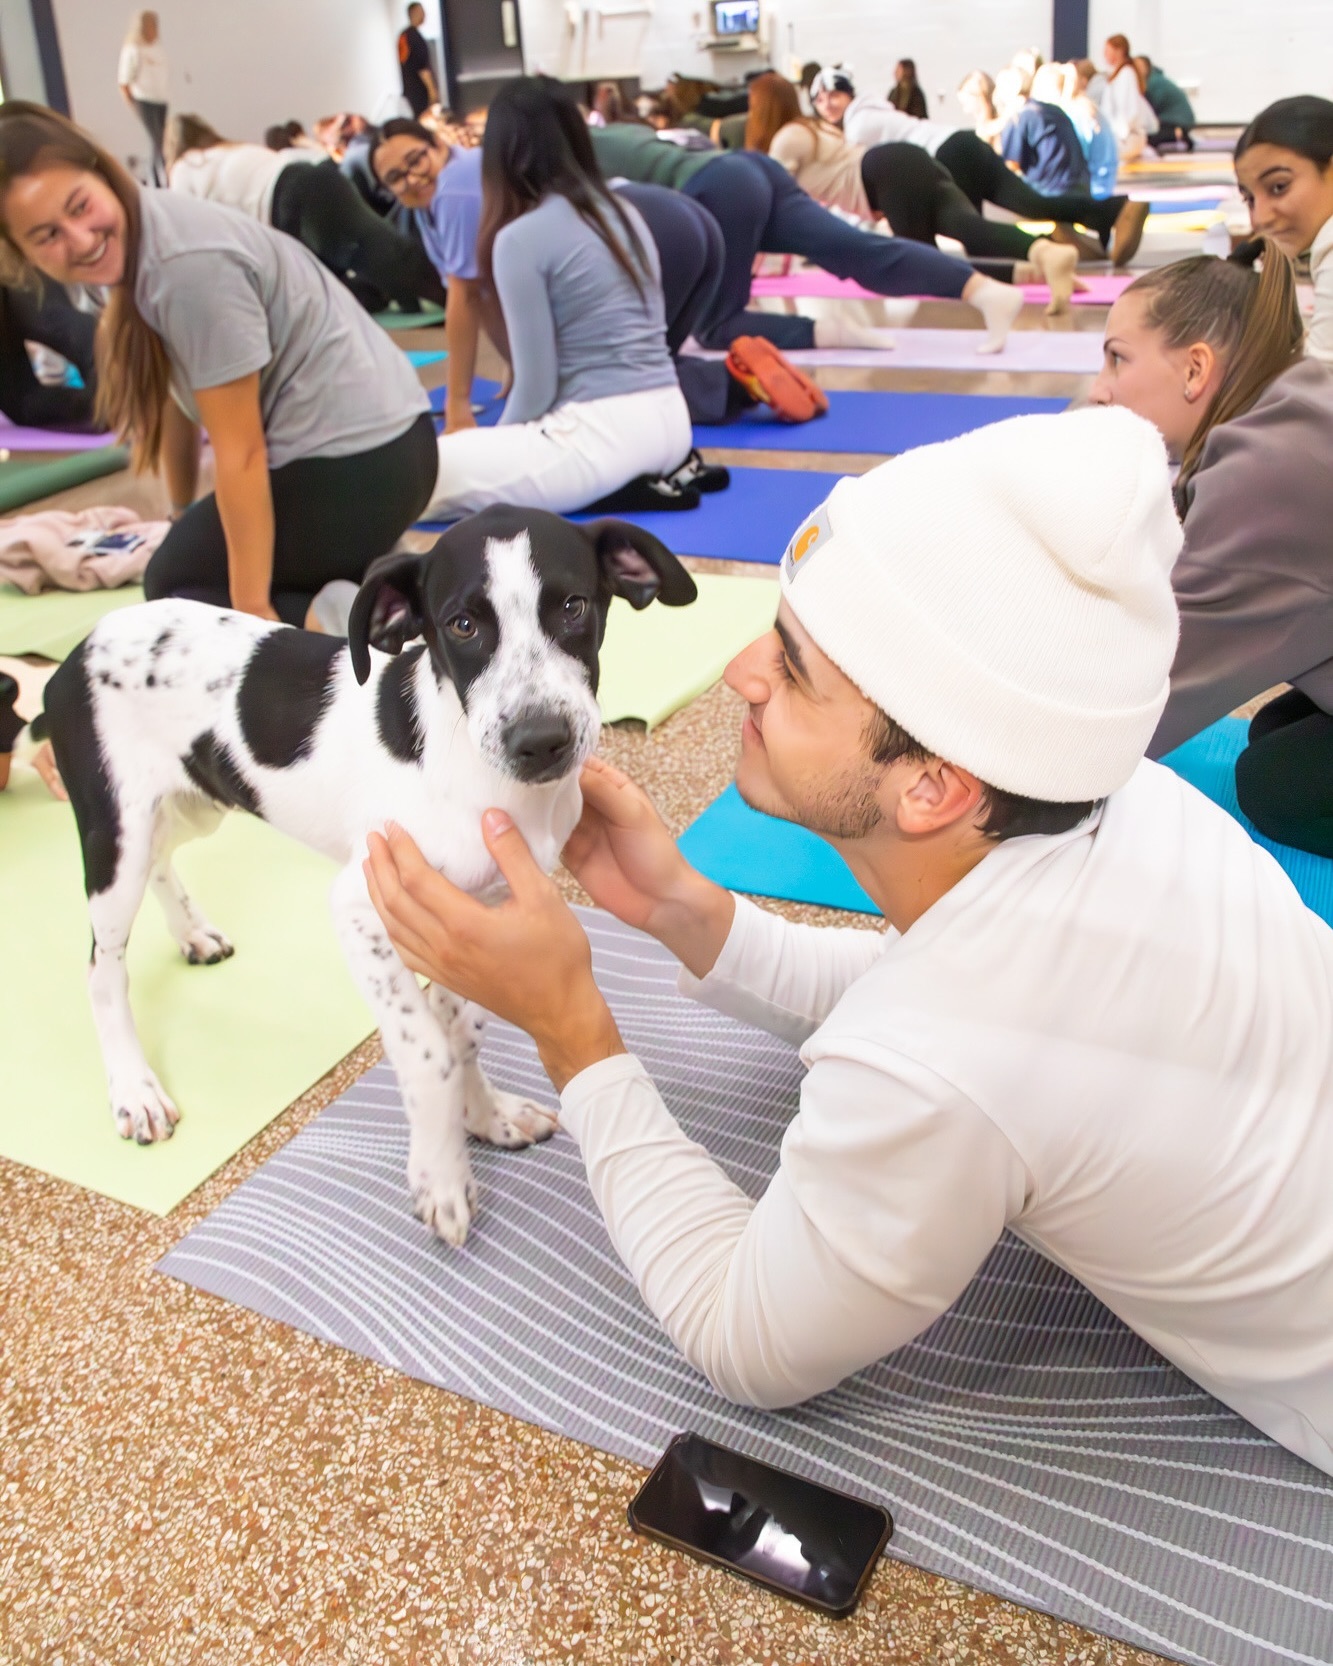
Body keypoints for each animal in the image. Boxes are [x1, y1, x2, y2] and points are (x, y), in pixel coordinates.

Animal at [36, 506, 693, 1252]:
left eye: (574, 605)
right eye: (461, 625)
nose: (540, 741)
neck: (476, 770)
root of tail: (82, 646)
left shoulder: (475, 914)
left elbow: (460, 1029)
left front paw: (483, 1117)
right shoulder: (360, 906)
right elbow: (429, 1049)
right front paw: (441, 1174)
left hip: (191, 803)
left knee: (163, 862)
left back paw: (192, 932)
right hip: (115, 831)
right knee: (103, 967)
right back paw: (134, 1088)